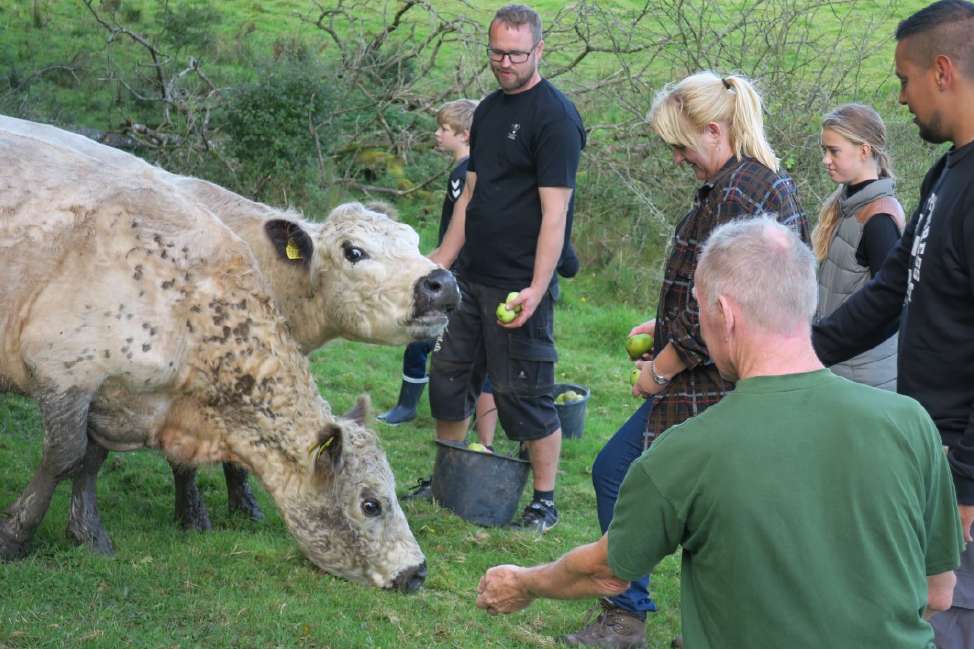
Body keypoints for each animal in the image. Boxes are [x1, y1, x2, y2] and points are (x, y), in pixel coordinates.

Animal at [0, 129, 428, 588]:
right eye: (370, 504)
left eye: (415, 240)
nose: (417, 571)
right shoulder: (63, 369)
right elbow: (64, 457)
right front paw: (15, 535)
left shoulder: (119, 401)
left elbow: (91, 461)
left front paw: (88, 533)